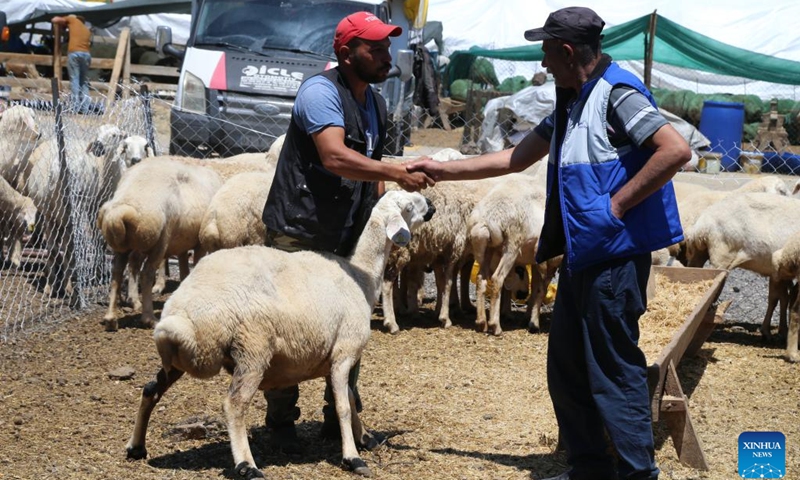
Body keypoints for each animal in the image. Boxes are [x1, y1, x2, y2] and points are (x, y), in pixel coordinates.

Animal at [100, 158, 227, 330]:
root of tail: (119, 212)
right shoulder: (199, 243)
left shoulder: (182, 242)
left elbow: (184, 268)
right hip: (160, 240)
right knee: (146, 274)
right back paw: (149, 318)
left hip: (125, 246)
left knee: (118, 272)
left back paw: (112, 318)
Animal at [126, 189, 438, 478]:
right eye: (408, 207)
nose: (432, 204)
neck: (361, 276)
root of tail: (183, 310)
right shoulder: (344, 354)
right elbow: (343, 407)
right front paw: (352, 457)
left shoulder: (333, 360)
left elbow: (349, 398)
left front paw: (364, 437)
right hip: (252, 350)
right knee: (234, 404)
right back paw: (246, 465)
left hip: (178, 358)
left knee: (150, 389)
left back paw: (136, 447)